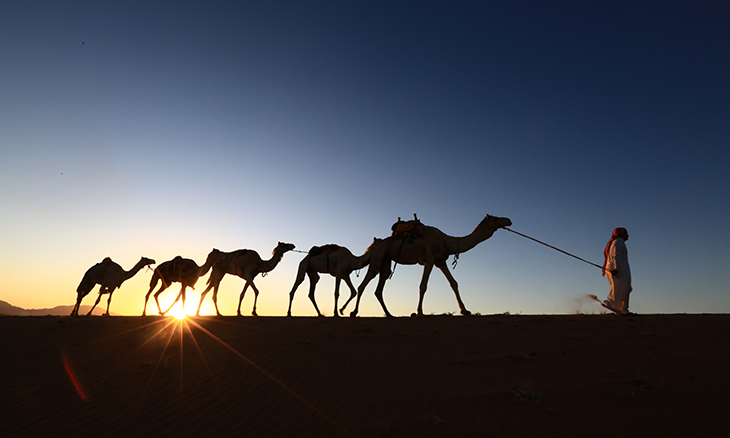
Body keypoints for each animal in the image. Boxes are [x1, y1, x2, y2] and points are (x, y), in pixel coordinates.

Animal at [348, 214, 512, 316]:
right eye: (495, 218)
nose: (508, 220)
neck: (447, 241)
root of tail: (374, 244)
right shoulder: (430, 259)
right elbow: (423, 285)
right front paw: (419, 312)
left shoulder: (441, 261)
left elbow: (454, 283)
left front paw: (465, 311)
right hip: (378, 257)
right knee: (364, 283)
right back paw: (354, 312)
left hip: (385, 262)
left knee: (379, 288)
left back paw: (389, 315)